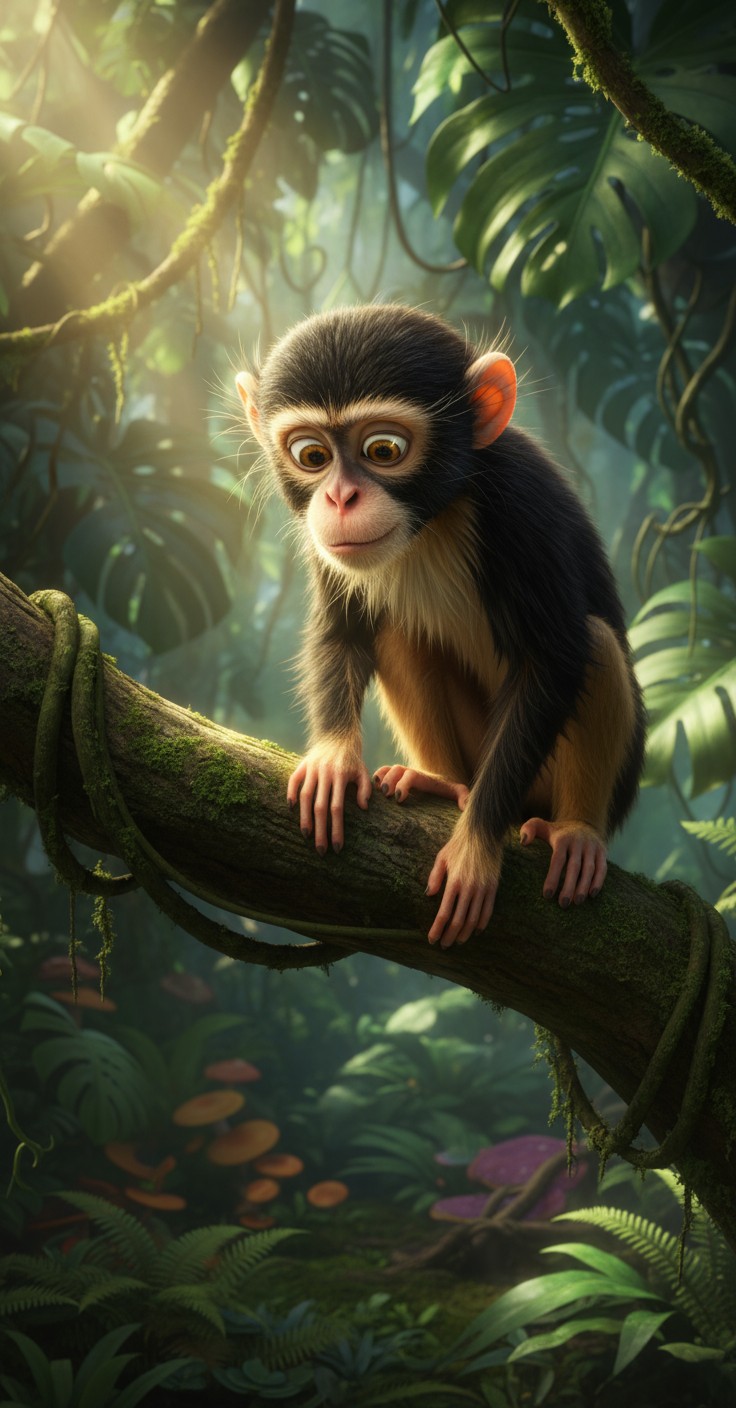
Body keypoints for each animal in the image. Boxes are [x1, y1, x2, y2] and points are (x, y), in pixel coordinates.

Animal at [235, 304, 645, 948]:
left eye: (382, 449)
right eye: (312, 457)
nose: (341, 498)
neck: (435, 514)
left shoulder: (522, 502)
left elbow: (553, 660)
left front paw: (475, 848)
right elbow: (344, 630)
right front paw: (332, 757)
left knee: (596, 645)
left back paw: (576, 831)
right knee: (396, 630)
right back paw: (439, 782)